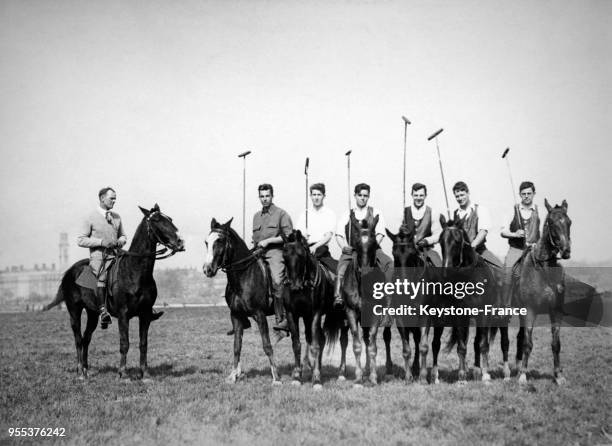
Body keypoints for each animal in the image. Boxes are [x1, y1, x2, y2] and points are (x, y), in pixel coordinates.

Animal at [43, 204, 184, 382]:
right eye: (157, 220)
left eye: (170, 219)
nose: (180, 242)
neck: (135, 271)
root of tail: (70, 271)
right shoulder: (123, 315)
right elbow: (124, 343)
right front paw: (123, 373)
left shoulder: (145, 315)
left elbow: (143, 343)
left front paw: (145, 373)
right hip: (74, 311)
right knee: (78, 339)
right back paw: (80, 371)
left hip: (93, 314)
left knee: (86, 339)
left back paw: (86, 370)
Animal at [204, 218, 284, 386]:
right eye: (206, 242)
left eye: (220, 240)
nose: (207, 269)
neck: (244, 276)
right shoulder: (236, 316)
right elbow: (237, 346)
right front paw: (233, 375)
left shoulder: (260, 316)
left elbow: (267, 345)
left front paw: (276, 378)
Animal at [280, 230, 346, 386]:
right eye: (284, 256)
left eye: (301, 255)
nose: (294, 285)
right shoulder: (293, 314)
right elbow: (297, 344)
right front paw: (297, 376)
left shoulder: (315, 313)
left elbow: (315, 344)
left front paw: (316, 379)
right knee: (321, 338)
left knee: (343, 341)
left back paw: (341, 373)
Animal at [512, 200, 572, 386]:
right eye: (551, 222)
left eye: (569, 222)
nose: (566, 251)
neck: (544, 270)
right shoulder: (530, 310)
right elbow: (528, 343)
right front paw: (523, 376)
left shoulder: (556, 311)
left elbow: (556, 343)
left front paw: (559, 375)